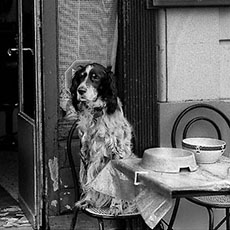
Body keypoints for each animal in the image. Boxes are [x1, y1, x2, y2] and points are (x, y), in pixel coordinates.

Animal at [69, 62, 136, 215]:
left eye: (95, 77)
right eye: (81, 77)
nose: (81, 90)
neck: (96, 113)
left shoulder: (117, 152)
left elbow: (117, 186)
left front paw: (116, 206)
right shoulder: (86, 151)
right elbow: (88, 180)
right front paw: (87, 200)